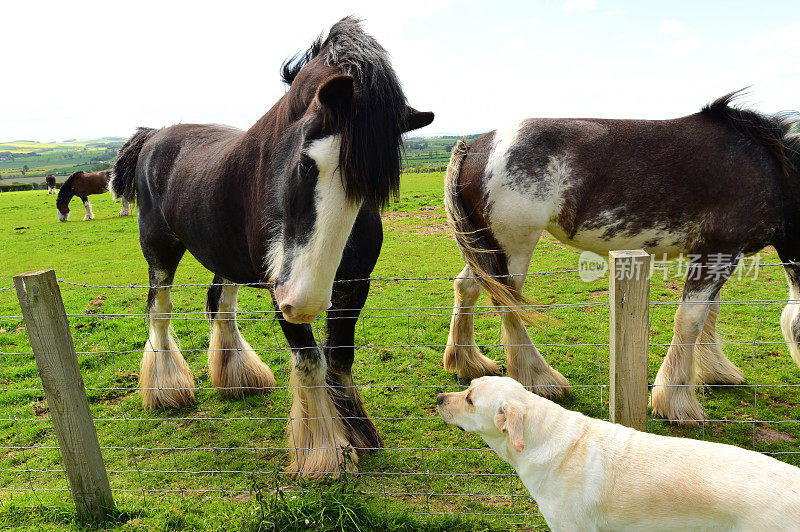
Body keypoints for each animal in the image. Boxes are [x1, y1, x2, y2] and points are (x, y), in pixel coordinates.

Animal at [110, 17, 434, 478]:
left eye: (370, 189)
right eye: (305, 164)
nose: (304, 301)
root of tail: (156, 136)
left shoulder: (354, 285)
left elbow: (339, 357)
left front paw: (357, 431)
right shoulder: (278, 287)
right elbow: (311, 360)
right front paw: (324, 453)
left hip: (226, 258)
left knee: (220, 305)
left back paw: (238, 378)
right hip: (160, 250)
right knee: (160, 310)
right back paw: (166, 390)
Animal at [444, 90, 800, 424]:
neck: (768, 169)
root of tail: (474, 147)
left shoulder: (715, 253)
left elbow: (710, 313)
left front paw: (716, 372)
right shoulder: (719, 251)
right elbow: (690, 319)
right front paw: (676, 402)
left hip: (486, 248)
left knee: (467, 288)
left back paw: (468, 362)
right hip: (514, 247)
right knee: (507, 303)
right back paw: (540, 378)